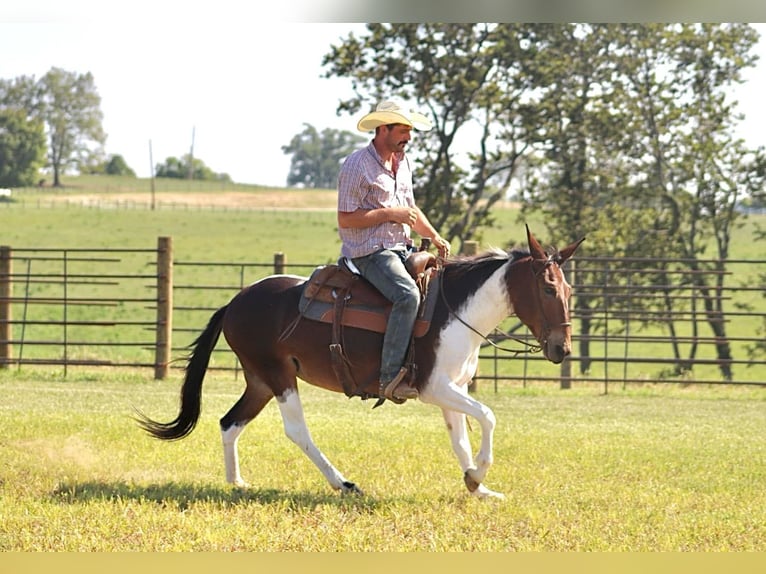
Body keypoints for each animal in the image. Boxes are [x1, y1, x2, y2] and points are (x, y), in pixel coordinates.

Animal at [135, 225, 585, 499]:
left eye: (568, 289)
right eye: (548, 289)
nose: (562, 349)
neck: (455, 310)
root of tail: (235, 302)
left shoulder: (451, 390)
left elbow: (460, 438)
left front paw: (477, 486)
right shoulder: (435, 388)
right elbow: (488, 417)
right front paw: (478, 475)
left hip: (259, 379)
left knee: (230, 423)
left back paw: (237, 483)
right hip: (278, 375)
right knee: (296, 431)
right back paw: (343, 483)